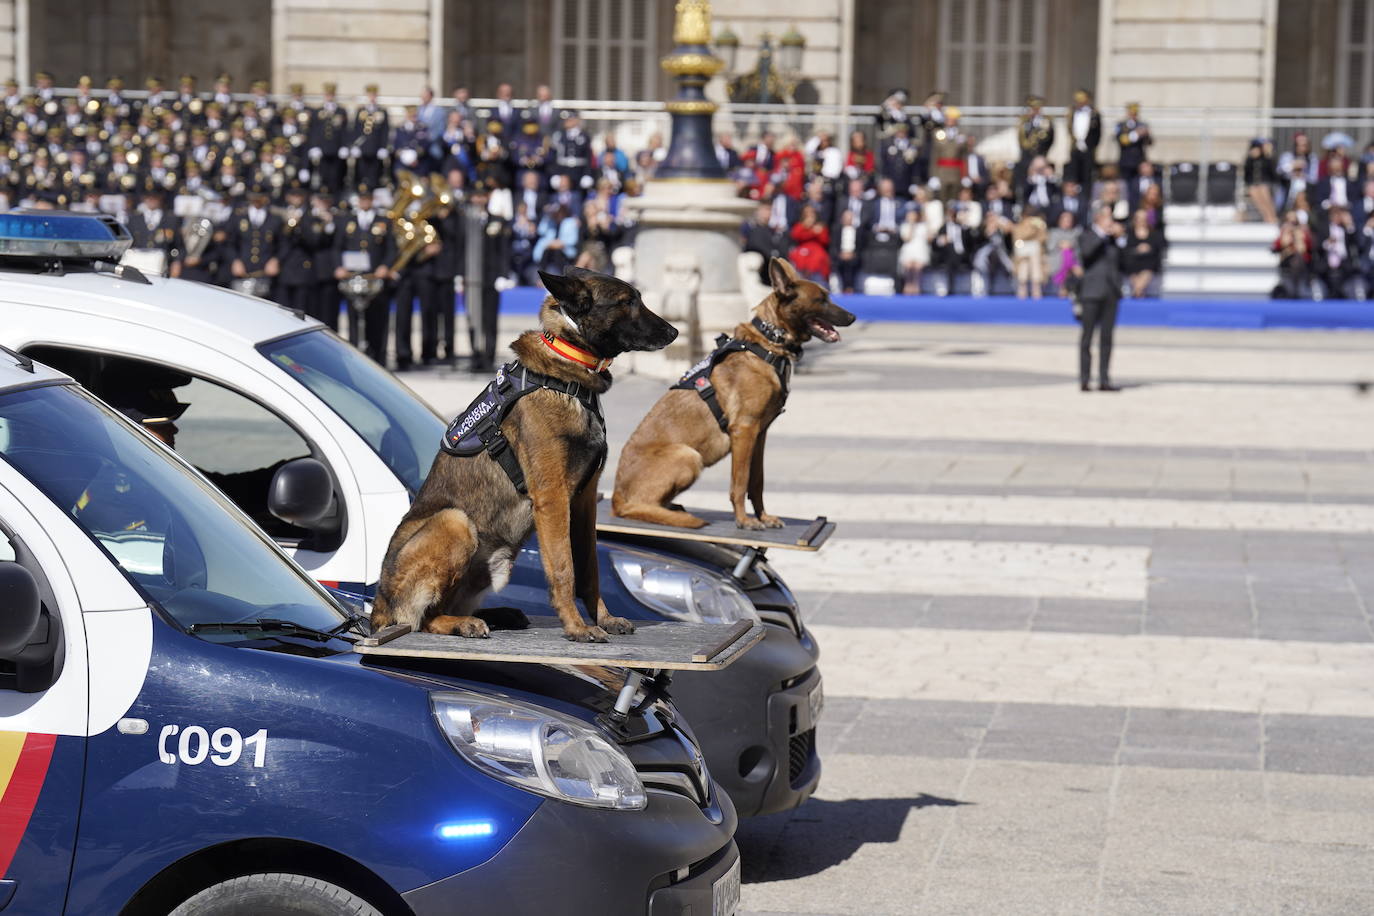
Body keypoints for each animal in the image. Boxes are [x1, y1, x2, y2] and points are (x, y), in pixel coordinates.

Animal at [373, 269, 678, 642]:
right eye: (627, 302)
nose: (675, 332)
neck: (568, 369)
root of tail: (378, 608)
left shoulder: (584, 501)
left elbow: (589, 569)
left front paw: (603, 618)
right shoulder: (552, 497)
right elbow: (564, 568)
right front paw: (576, 626)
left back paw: (496, 615)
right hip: (455, 522)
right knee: (425, 618)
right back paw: (462, 623)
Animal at [615, 258, 851, 530]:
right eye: (821, 300)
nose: (853, 316)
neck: (768, 344)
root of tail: (616, 496)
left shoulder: (759, 434)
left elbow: (756, 482)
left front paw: (763, 517)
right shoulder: (744, 431)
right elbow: (739, 482)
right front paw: (744, 520)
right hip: (688, 455)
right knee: (636, 507)